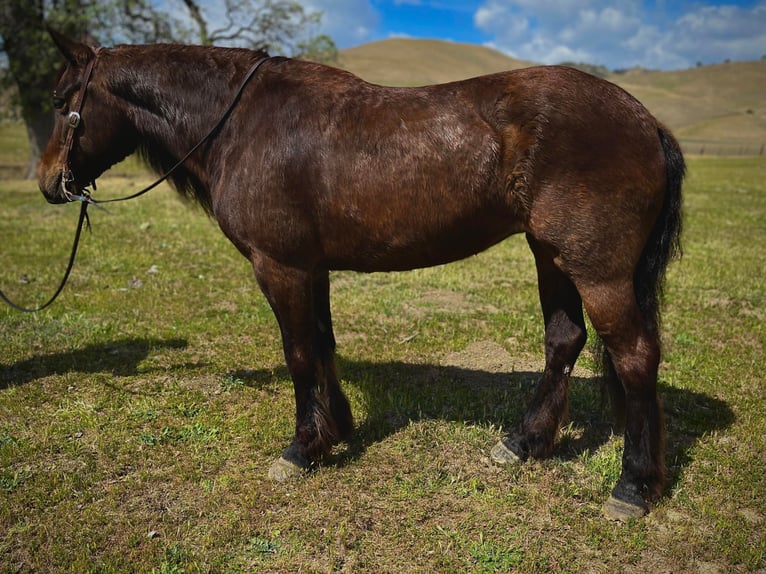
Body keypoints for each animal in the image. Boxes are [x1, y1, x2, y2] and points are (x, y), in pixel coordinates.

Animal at [36, 30, 688, 520]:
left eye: (62, 99)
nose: (48, 183)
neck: (242, 122)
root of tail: (646, 119)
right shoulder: (311, 266)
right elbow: (323, 344)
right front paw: (337, 429)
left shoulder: (280, 266)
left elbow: (299, 352)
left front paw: (302, 448)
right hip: (550, 255)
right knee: (564, 341)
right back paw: (524, 443)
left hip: (597, 271)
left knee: (634, 357)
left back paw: (632, 486)